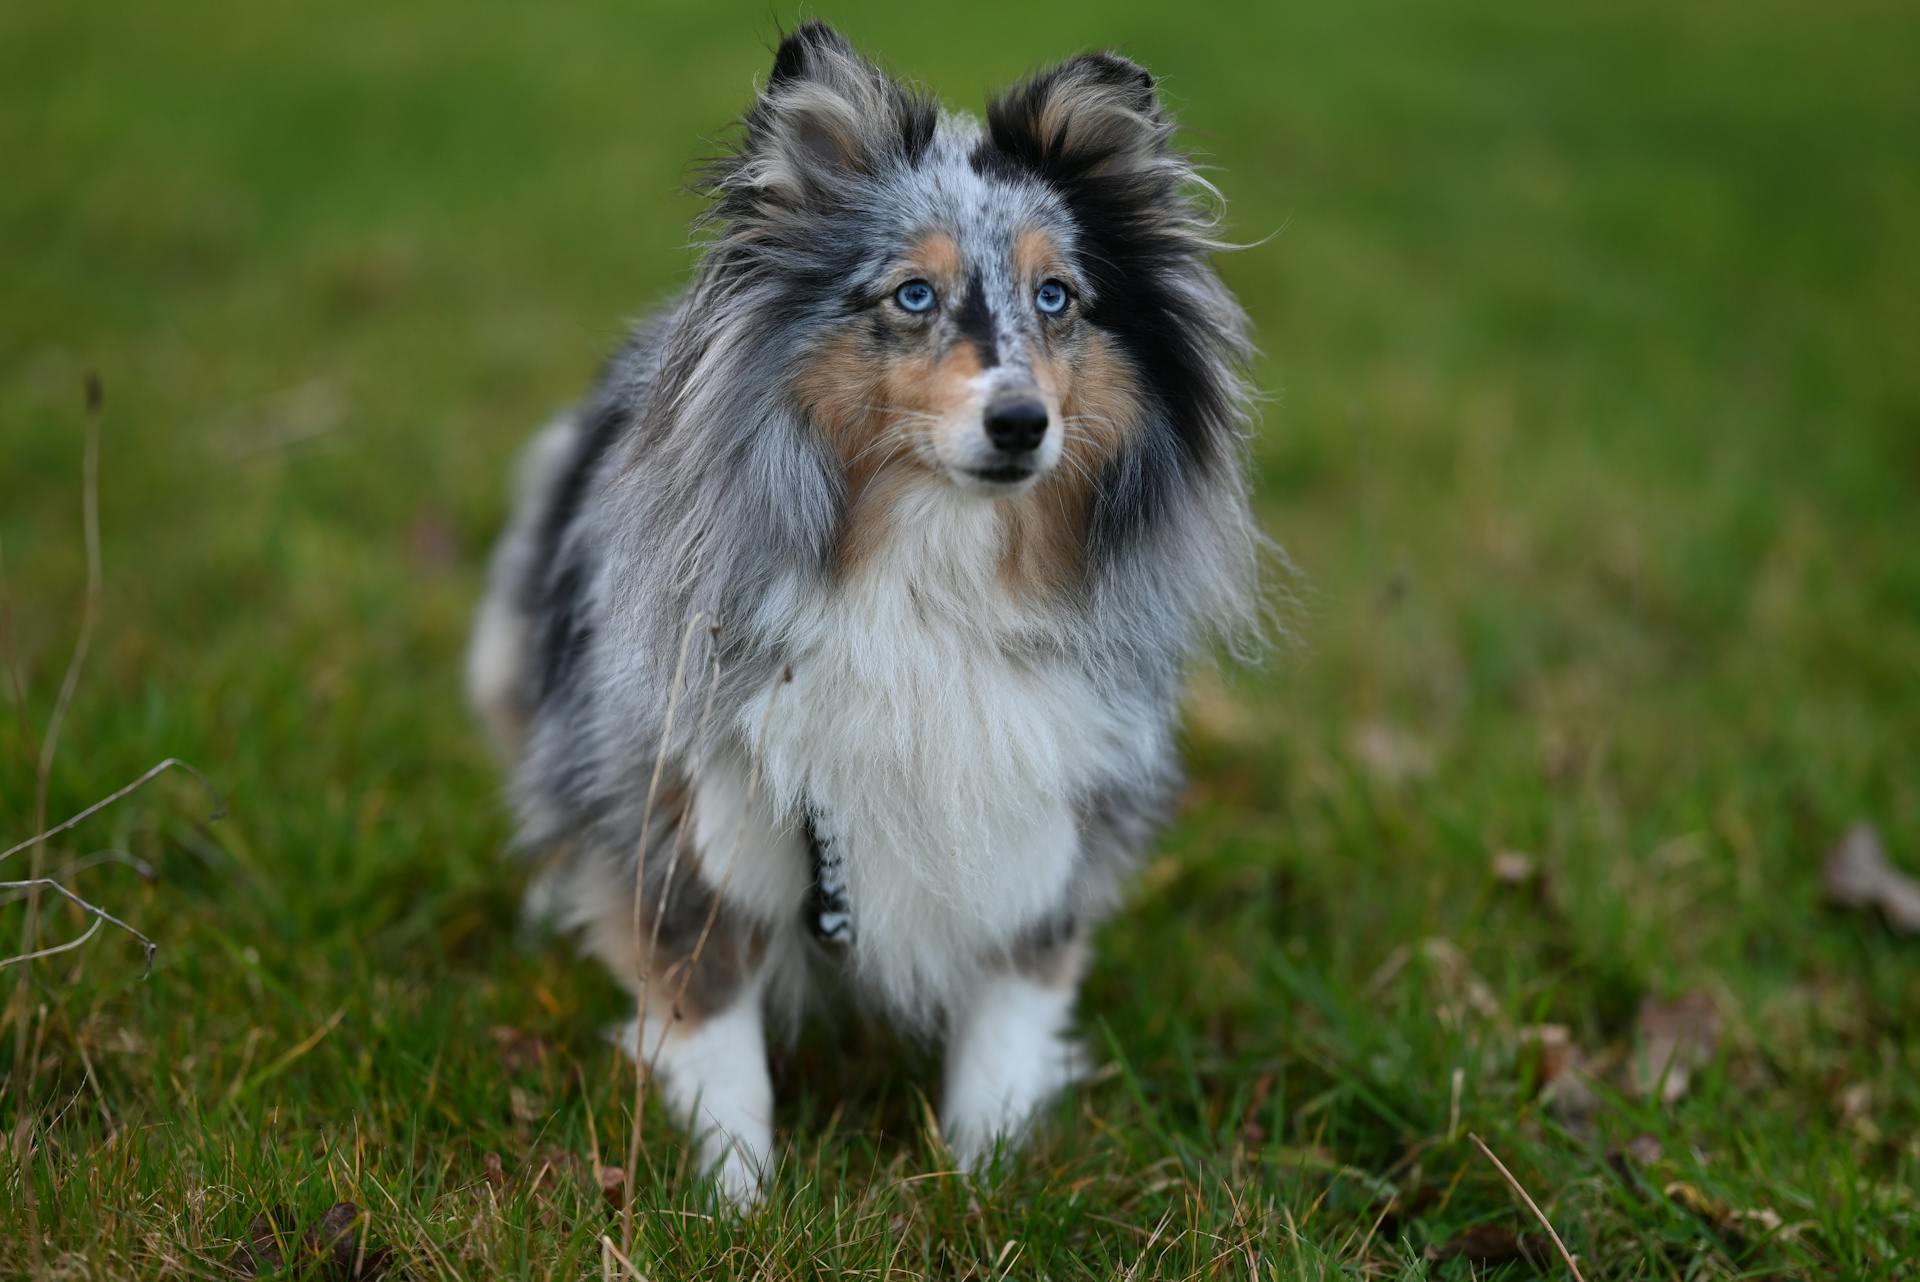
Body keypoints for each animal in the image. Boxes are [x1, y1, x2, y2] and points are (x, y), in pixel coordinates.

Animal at [468, 20, 1259, 1205]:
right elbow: (715, 1037)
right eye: (913, 295)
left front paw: (983, 1184)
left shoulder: (1044, 822)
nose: (1021, 423)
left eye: (1058, 297)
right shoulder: (689, 817)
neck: (935, 570)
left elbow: (1006, 1028)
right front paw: (734, 1200)